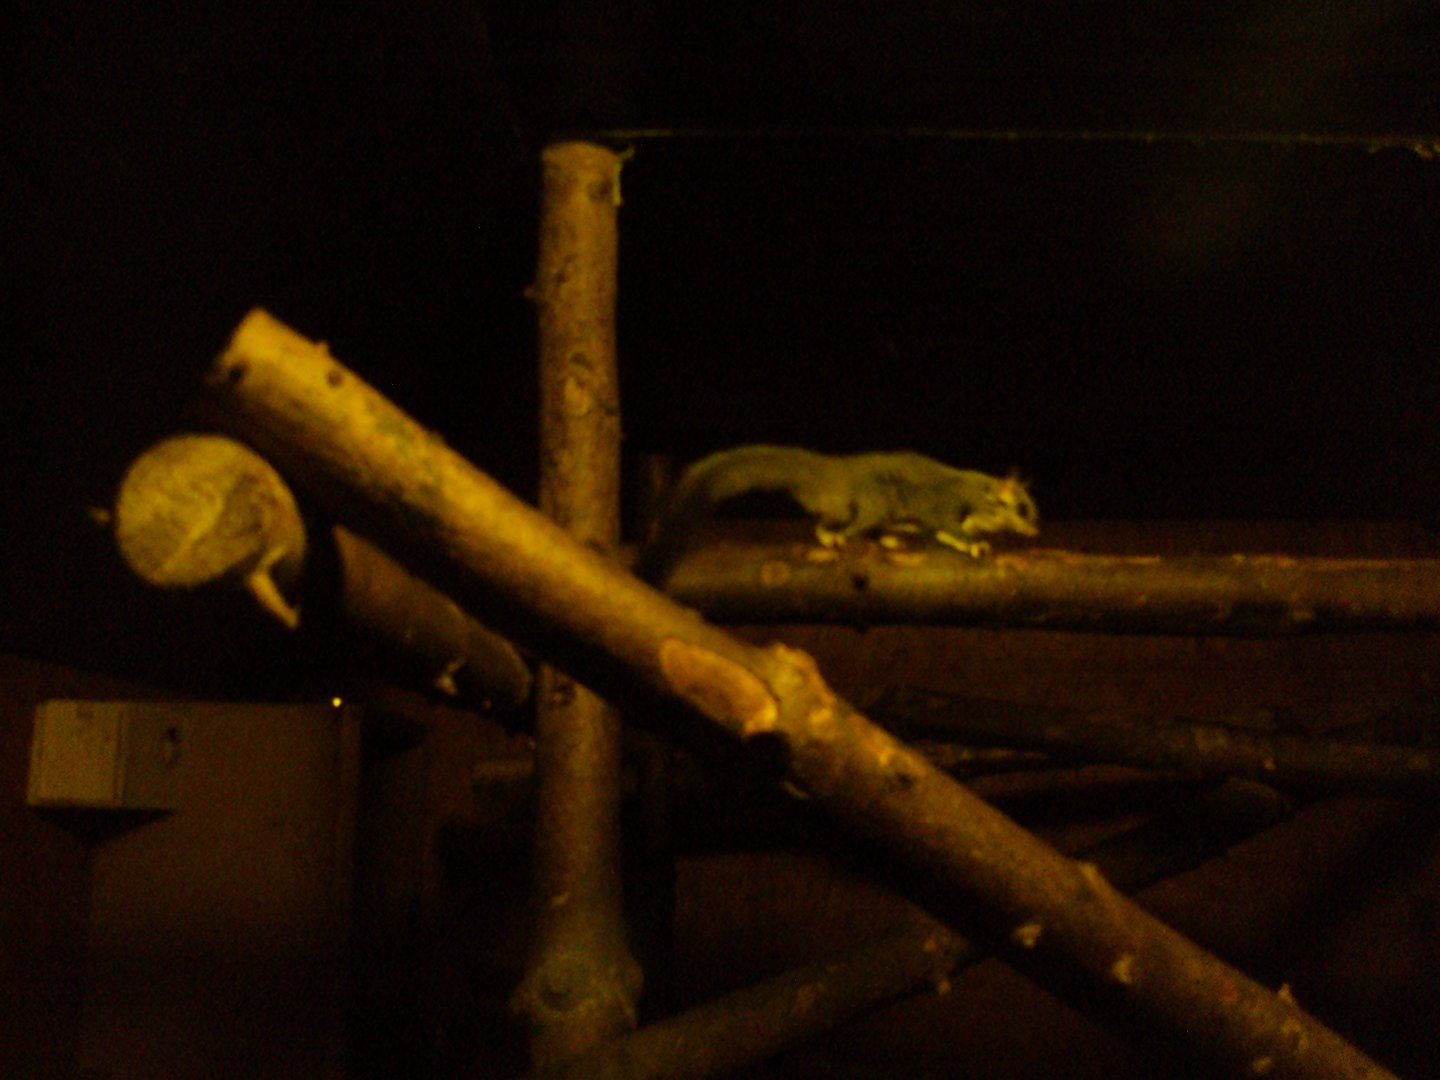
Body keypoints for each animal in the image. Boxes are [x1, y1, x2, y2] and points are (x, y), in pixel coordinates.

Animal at [635, 445, 1039, 584]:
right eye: (1022, 509)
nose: (1035, 533)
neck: (986, 496)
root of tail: (834, 472)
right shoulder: (951, 505)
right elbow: (948, 527)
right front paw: (975, 544)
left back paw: (887, 537)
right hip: (870, 501)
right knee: (839, 525)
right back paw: (837, 537)